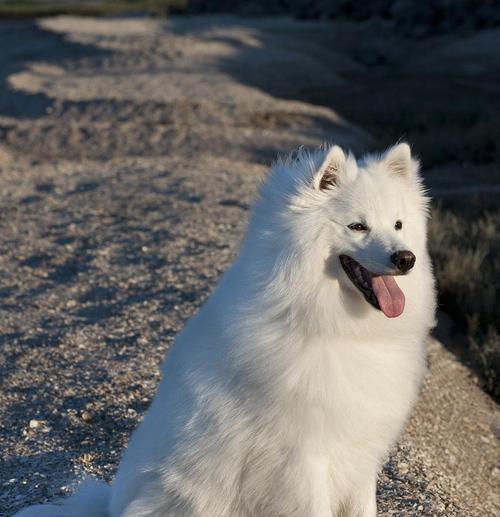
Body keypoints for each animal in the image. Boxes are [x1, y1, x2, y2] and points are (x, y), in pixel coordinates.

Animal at [17, 143, 436, 516]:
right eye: (358, 226)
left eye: (398, 224)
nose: (405, 258)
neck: (333, 326)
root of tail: (110, 507)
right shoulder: (303, 458)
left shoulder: (361, 453)